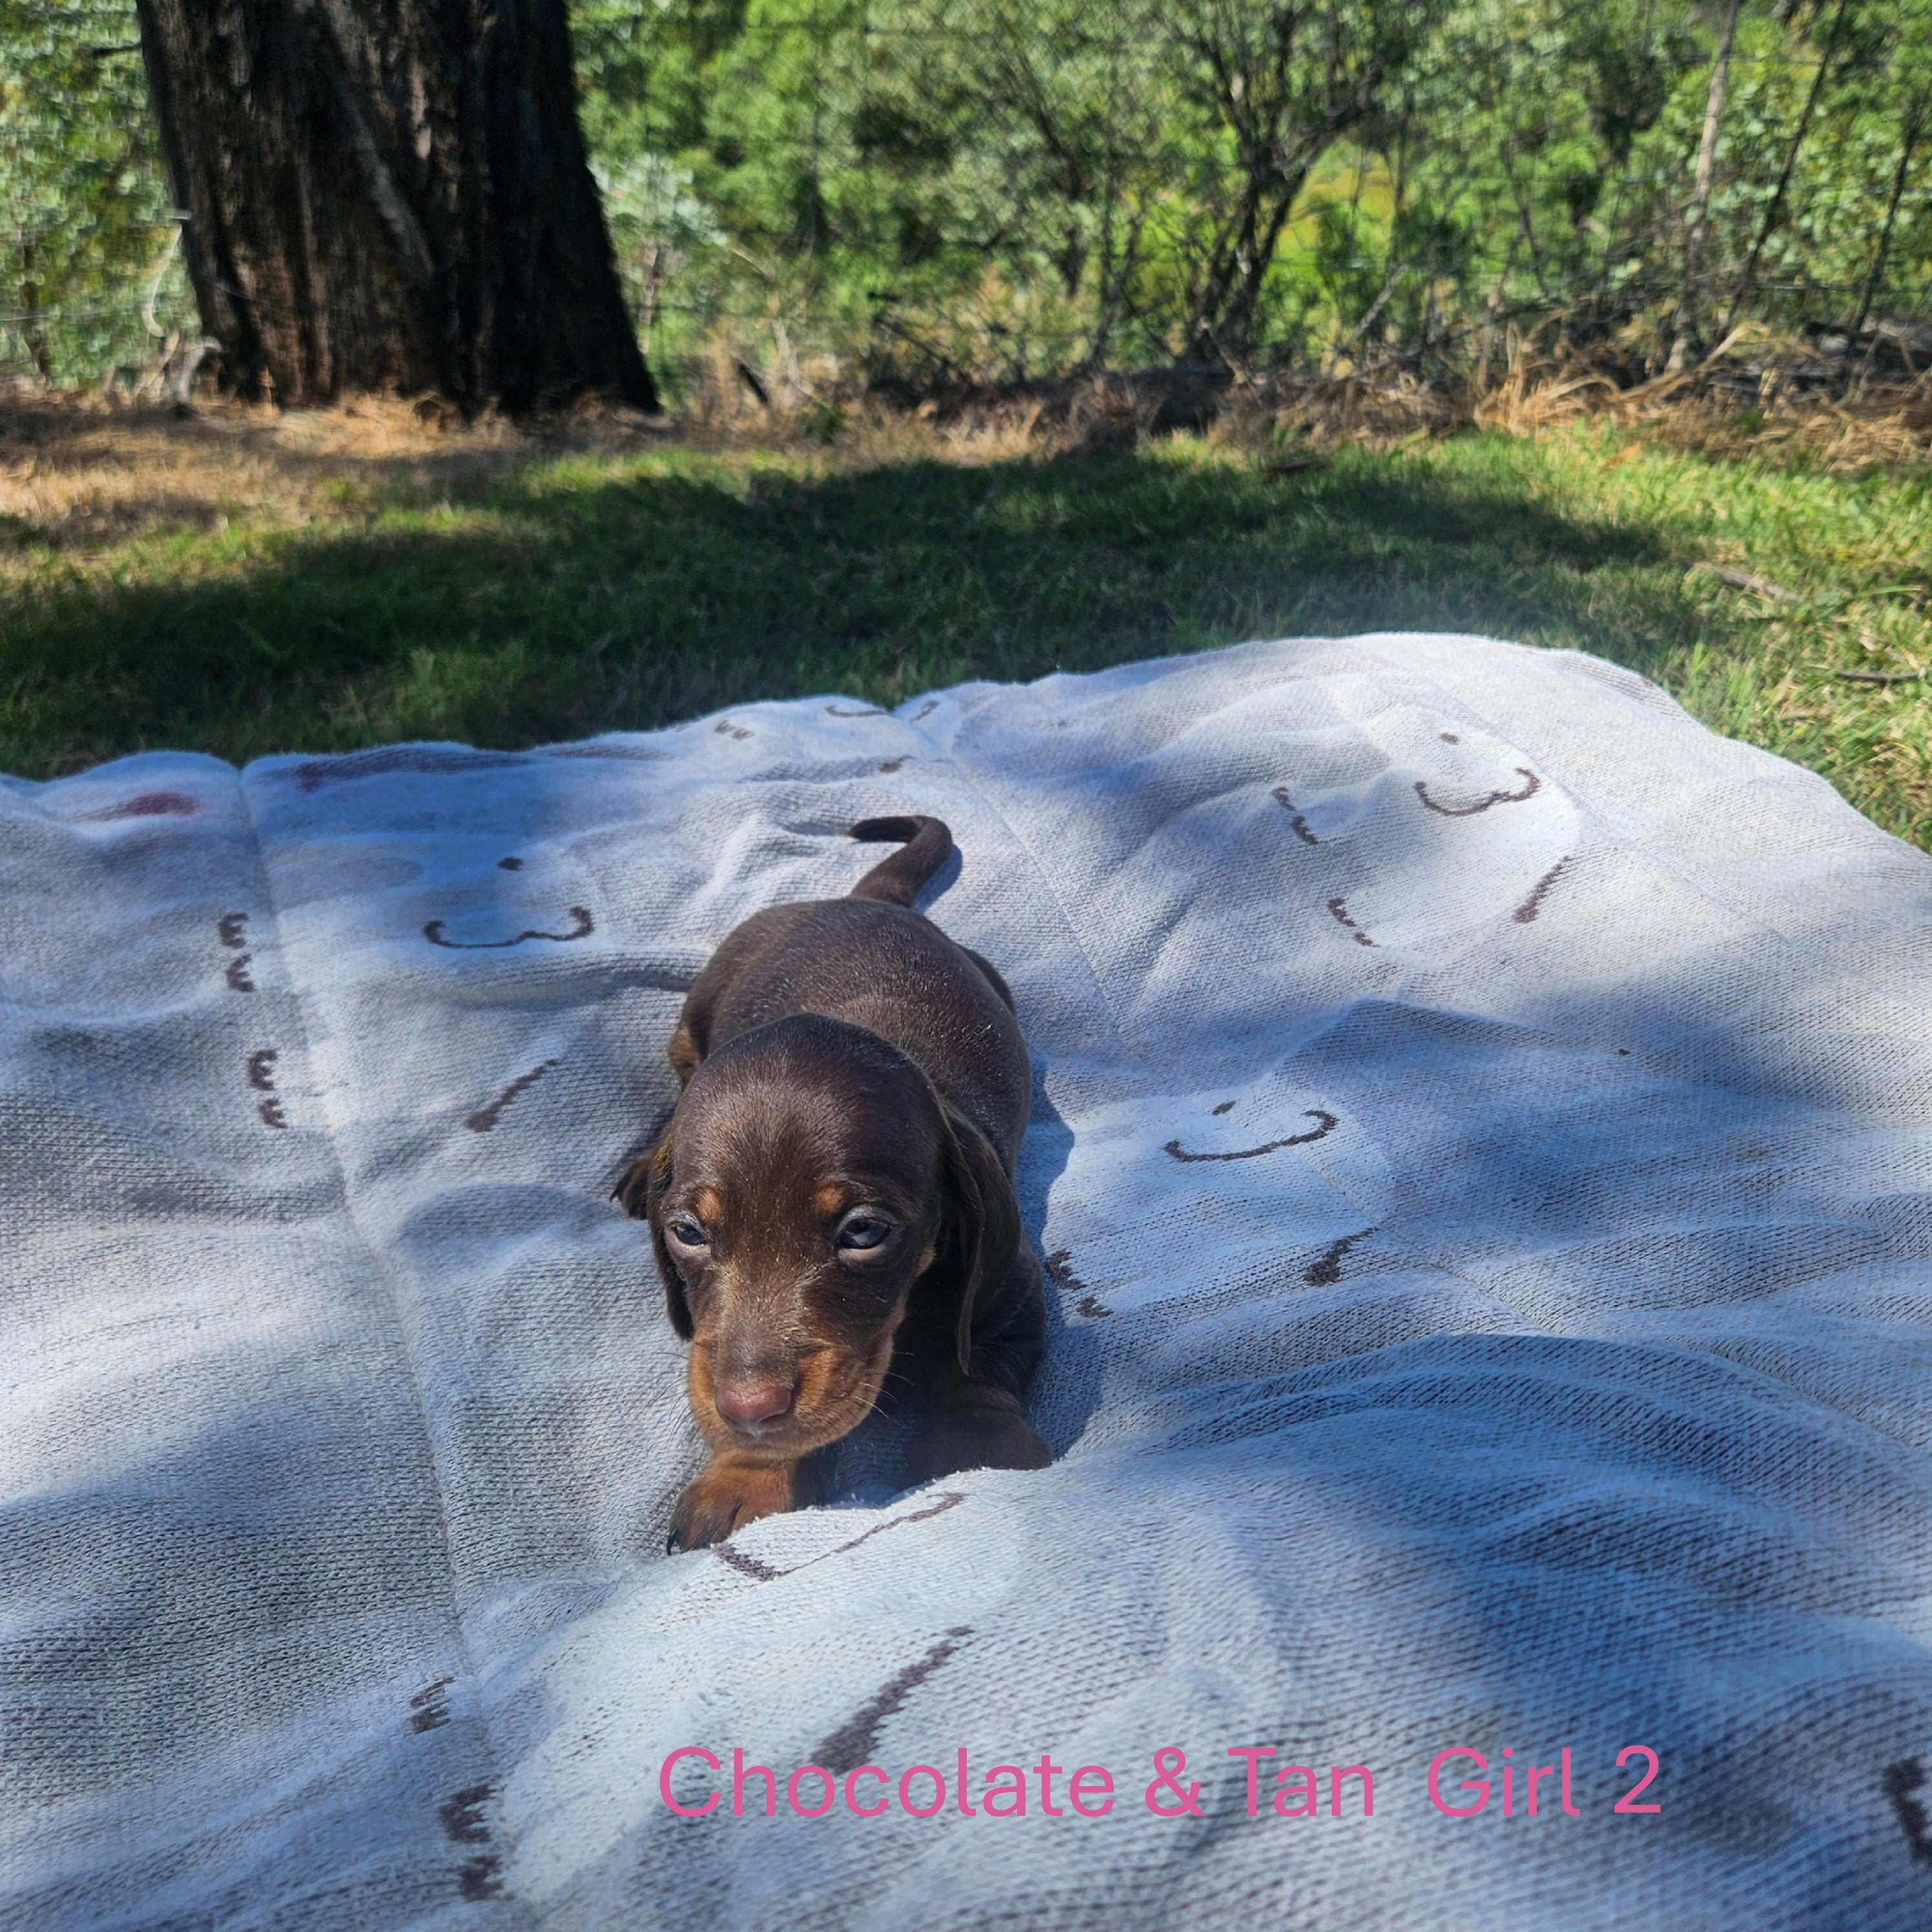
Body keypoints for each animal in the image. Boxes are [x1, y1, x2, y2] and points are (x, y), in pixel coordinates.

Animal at [616, 816, 1050, 1552]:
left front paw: (978, 1448)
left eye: (864, 1232)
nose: (748, 1408)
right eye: (687, 1232)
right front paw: (747, 1468)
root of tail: (865, 900)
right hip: (698, 1008)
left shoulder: (1012, 1285)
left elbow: (977, 1369)